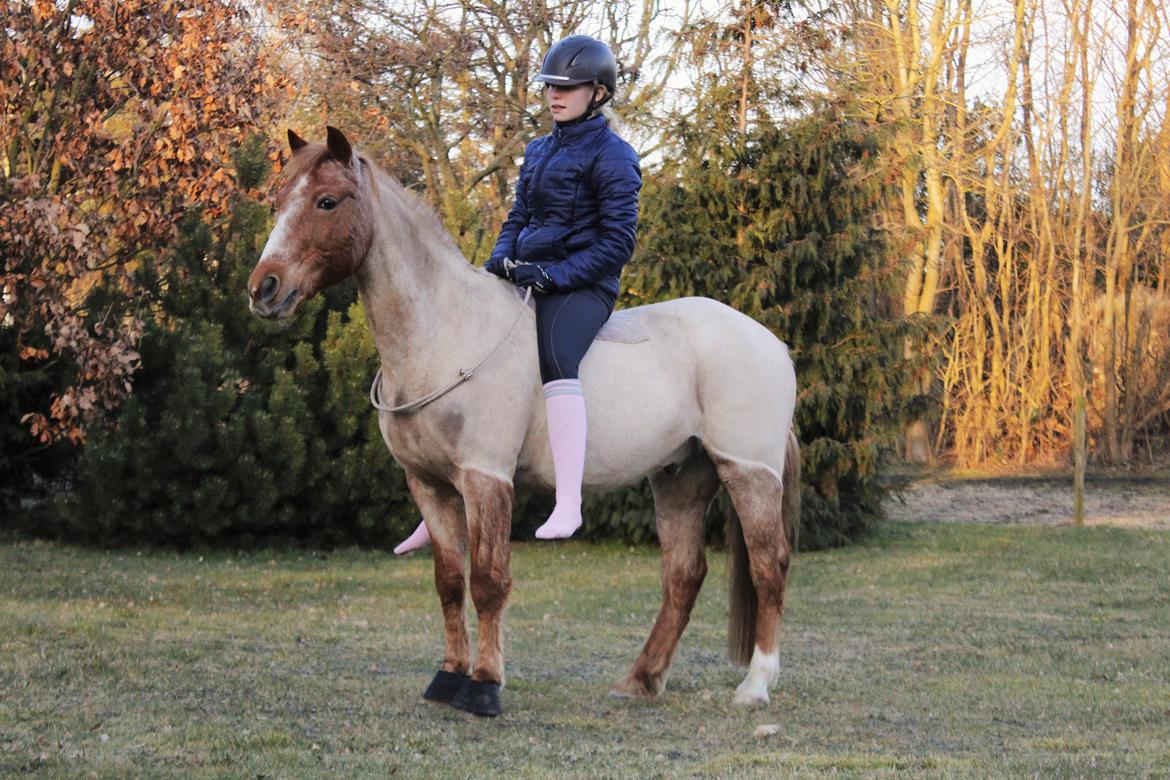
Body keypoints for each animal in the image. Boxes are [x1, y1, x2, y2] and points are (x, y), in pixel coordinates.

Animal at [247, 127, 800, 717]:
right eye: (279, 201)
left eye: (327, 201)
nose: (264, 289)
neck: (445, 331)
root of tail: (773, 344)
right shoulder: (428, 485)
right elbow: (449, 582)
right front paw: (448, 676)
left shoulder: (486, 480)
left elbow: (489, 581)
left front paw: (485, 686)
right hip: (680, 479)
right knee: (683, 575)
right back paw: (641, 679)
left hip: (747, 472)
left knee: (769, 566)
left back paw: (755, 685)